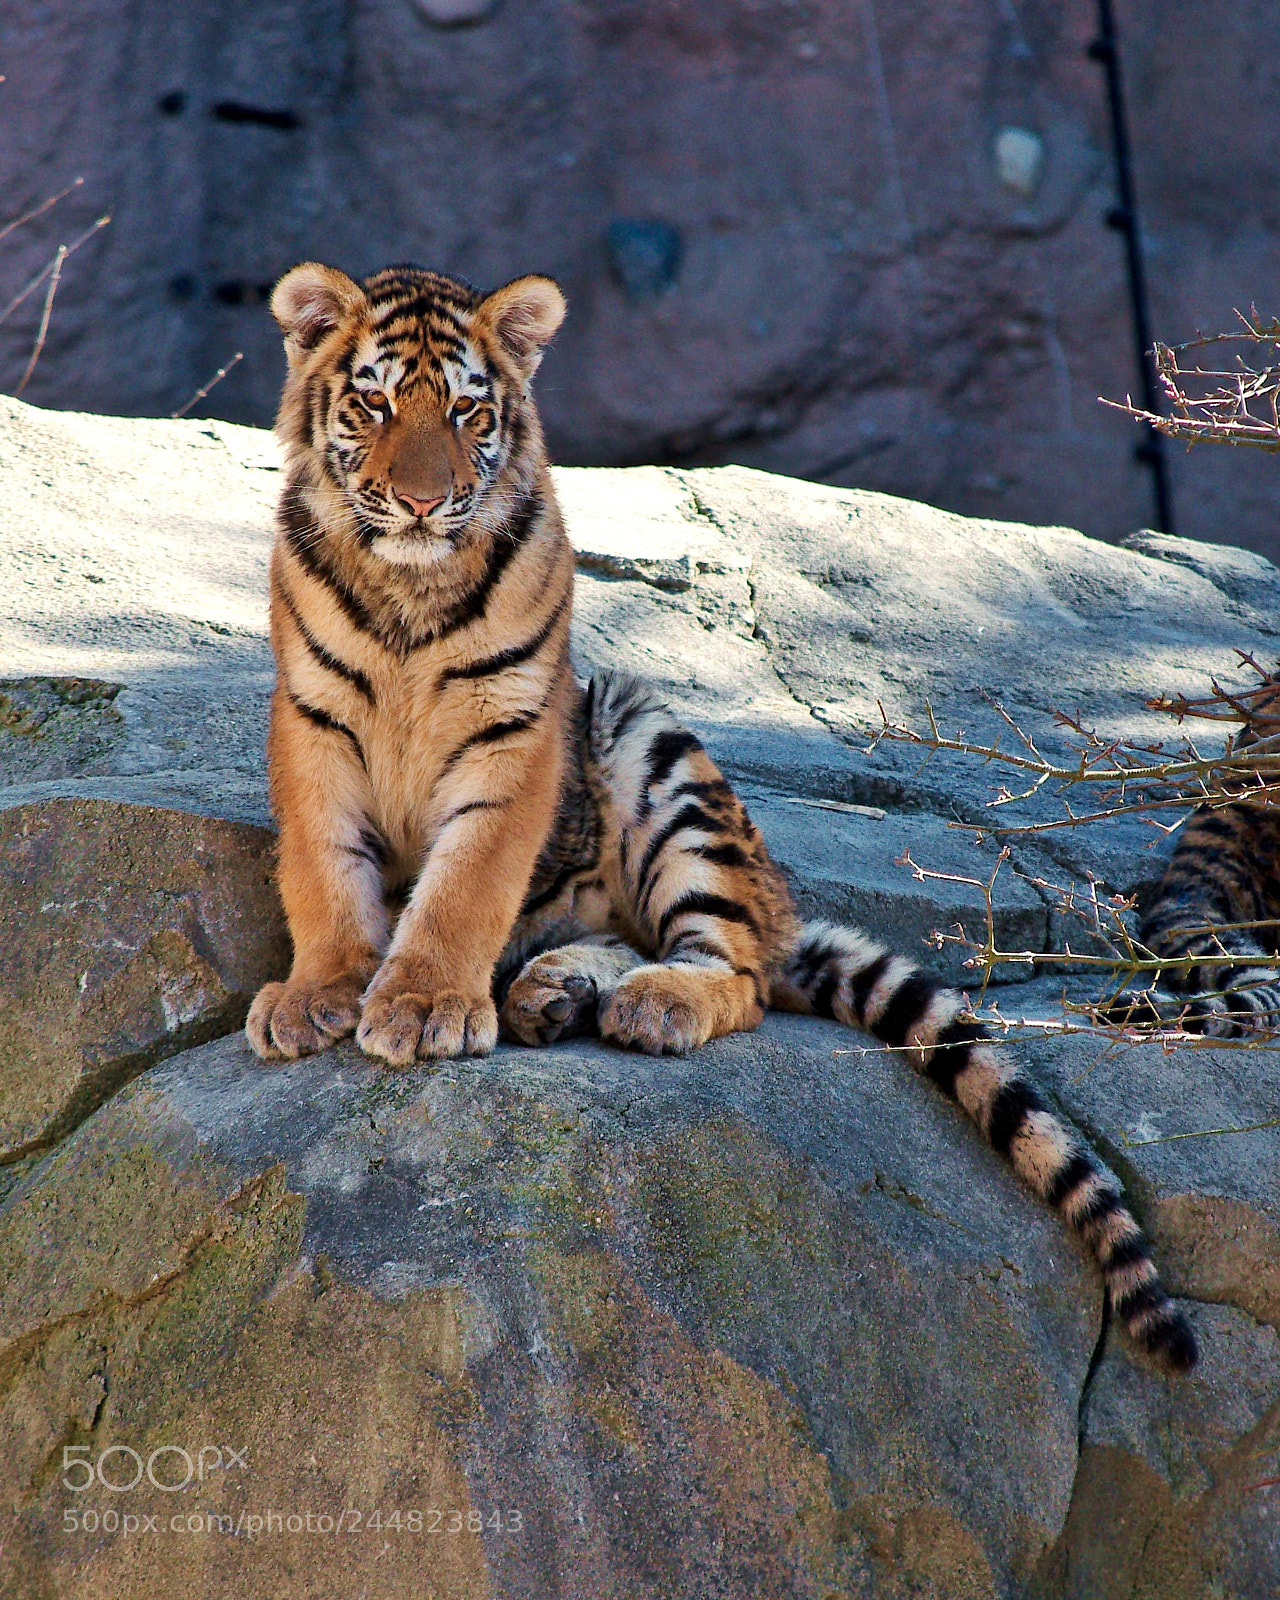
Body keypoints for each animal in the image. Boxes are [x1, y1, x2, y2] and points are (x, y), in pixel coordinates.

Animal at [244, 258, 1197, 1372]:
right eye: (376, 403)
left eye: (467, 410)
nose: (423, 501)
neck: (408, 584)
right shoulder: (310, 721)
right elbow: (322, 870)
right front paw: (320, 993)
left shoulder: (513, 734)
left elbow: (463, 887)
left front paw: (425, 1004)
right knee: (624, 936)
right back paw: (552, 992)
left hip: (657, 753)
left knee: (730, 969)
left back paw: (640, 1002)